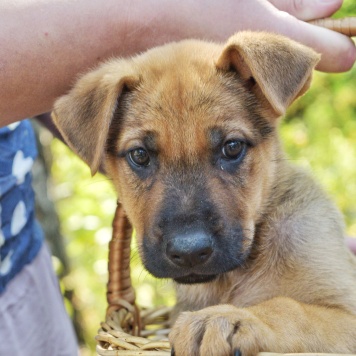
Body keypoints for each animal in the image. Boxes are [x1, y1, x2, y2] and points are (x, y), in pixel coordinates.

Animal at [52, 32, 356, 354]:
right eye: (139, 155)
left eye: (232, 147)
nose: (189, 253)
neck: (233, 277)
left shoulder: (345, 312)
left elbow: (290, 309)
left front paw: (227, 319)